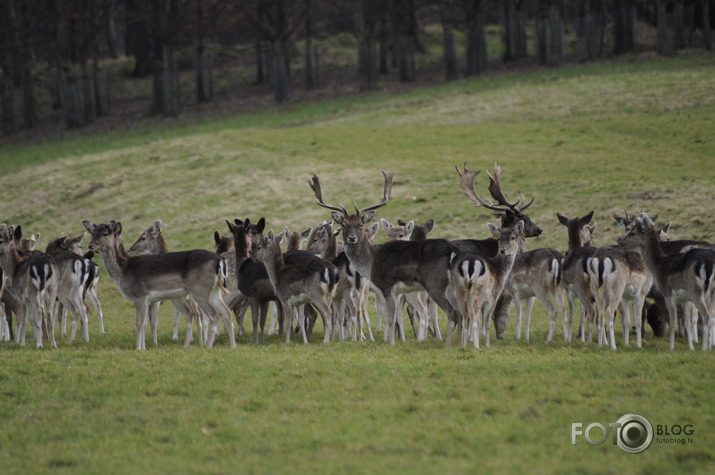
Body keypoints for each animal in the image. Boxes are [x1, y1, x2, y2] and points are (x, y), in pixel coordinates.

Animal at [83, 219, 235, 350]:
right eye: (92, 233)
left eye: (105, 233)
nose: (91, 245)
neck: (124, 271)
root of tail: (219, 260)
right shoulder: (148, 300)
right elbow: (145, 322)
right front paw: (143, 347)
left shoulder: (140, 295)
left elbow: (139, 322)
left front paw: (138, 348)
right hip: (214, 291)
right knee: (226, 311)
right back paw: (232, 346)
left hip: (200, 290)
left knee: (213, 315)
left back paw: (207, 346)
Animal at [620, 214, 715, 352]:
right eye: (627, 228)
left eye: (632, 232)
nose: (620, 241)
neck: (659, 265)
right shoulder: (683, 298)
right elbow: (685, 320)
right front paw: (690, 346)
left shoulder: (666, 294)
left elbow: (670, 319)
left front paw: (671, 346)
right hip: (711, 292)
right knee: (711, 316)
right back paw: (709, 344)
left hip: (697, 291)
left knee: (706, 316)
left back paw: (704, 347)